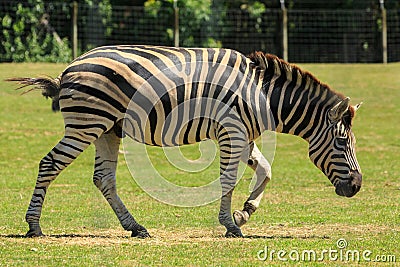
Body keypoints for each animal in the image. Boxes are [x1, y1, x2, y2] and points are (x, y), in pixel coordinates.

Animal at [7, 45, 362, 239]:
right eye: (341, 142)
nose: (357, 186)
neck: (261, 95)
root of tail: (68, 69)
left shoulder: (244, 135)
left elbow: (265, 170)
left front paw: (244, 213)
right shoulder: (231, 131)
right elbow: (229, 179)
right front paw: (231, 224)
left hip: (108, 128)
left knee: (103, 179)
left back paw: (135, 227)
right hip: (87, 123)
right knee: (50, 163)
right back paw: (34, 225)